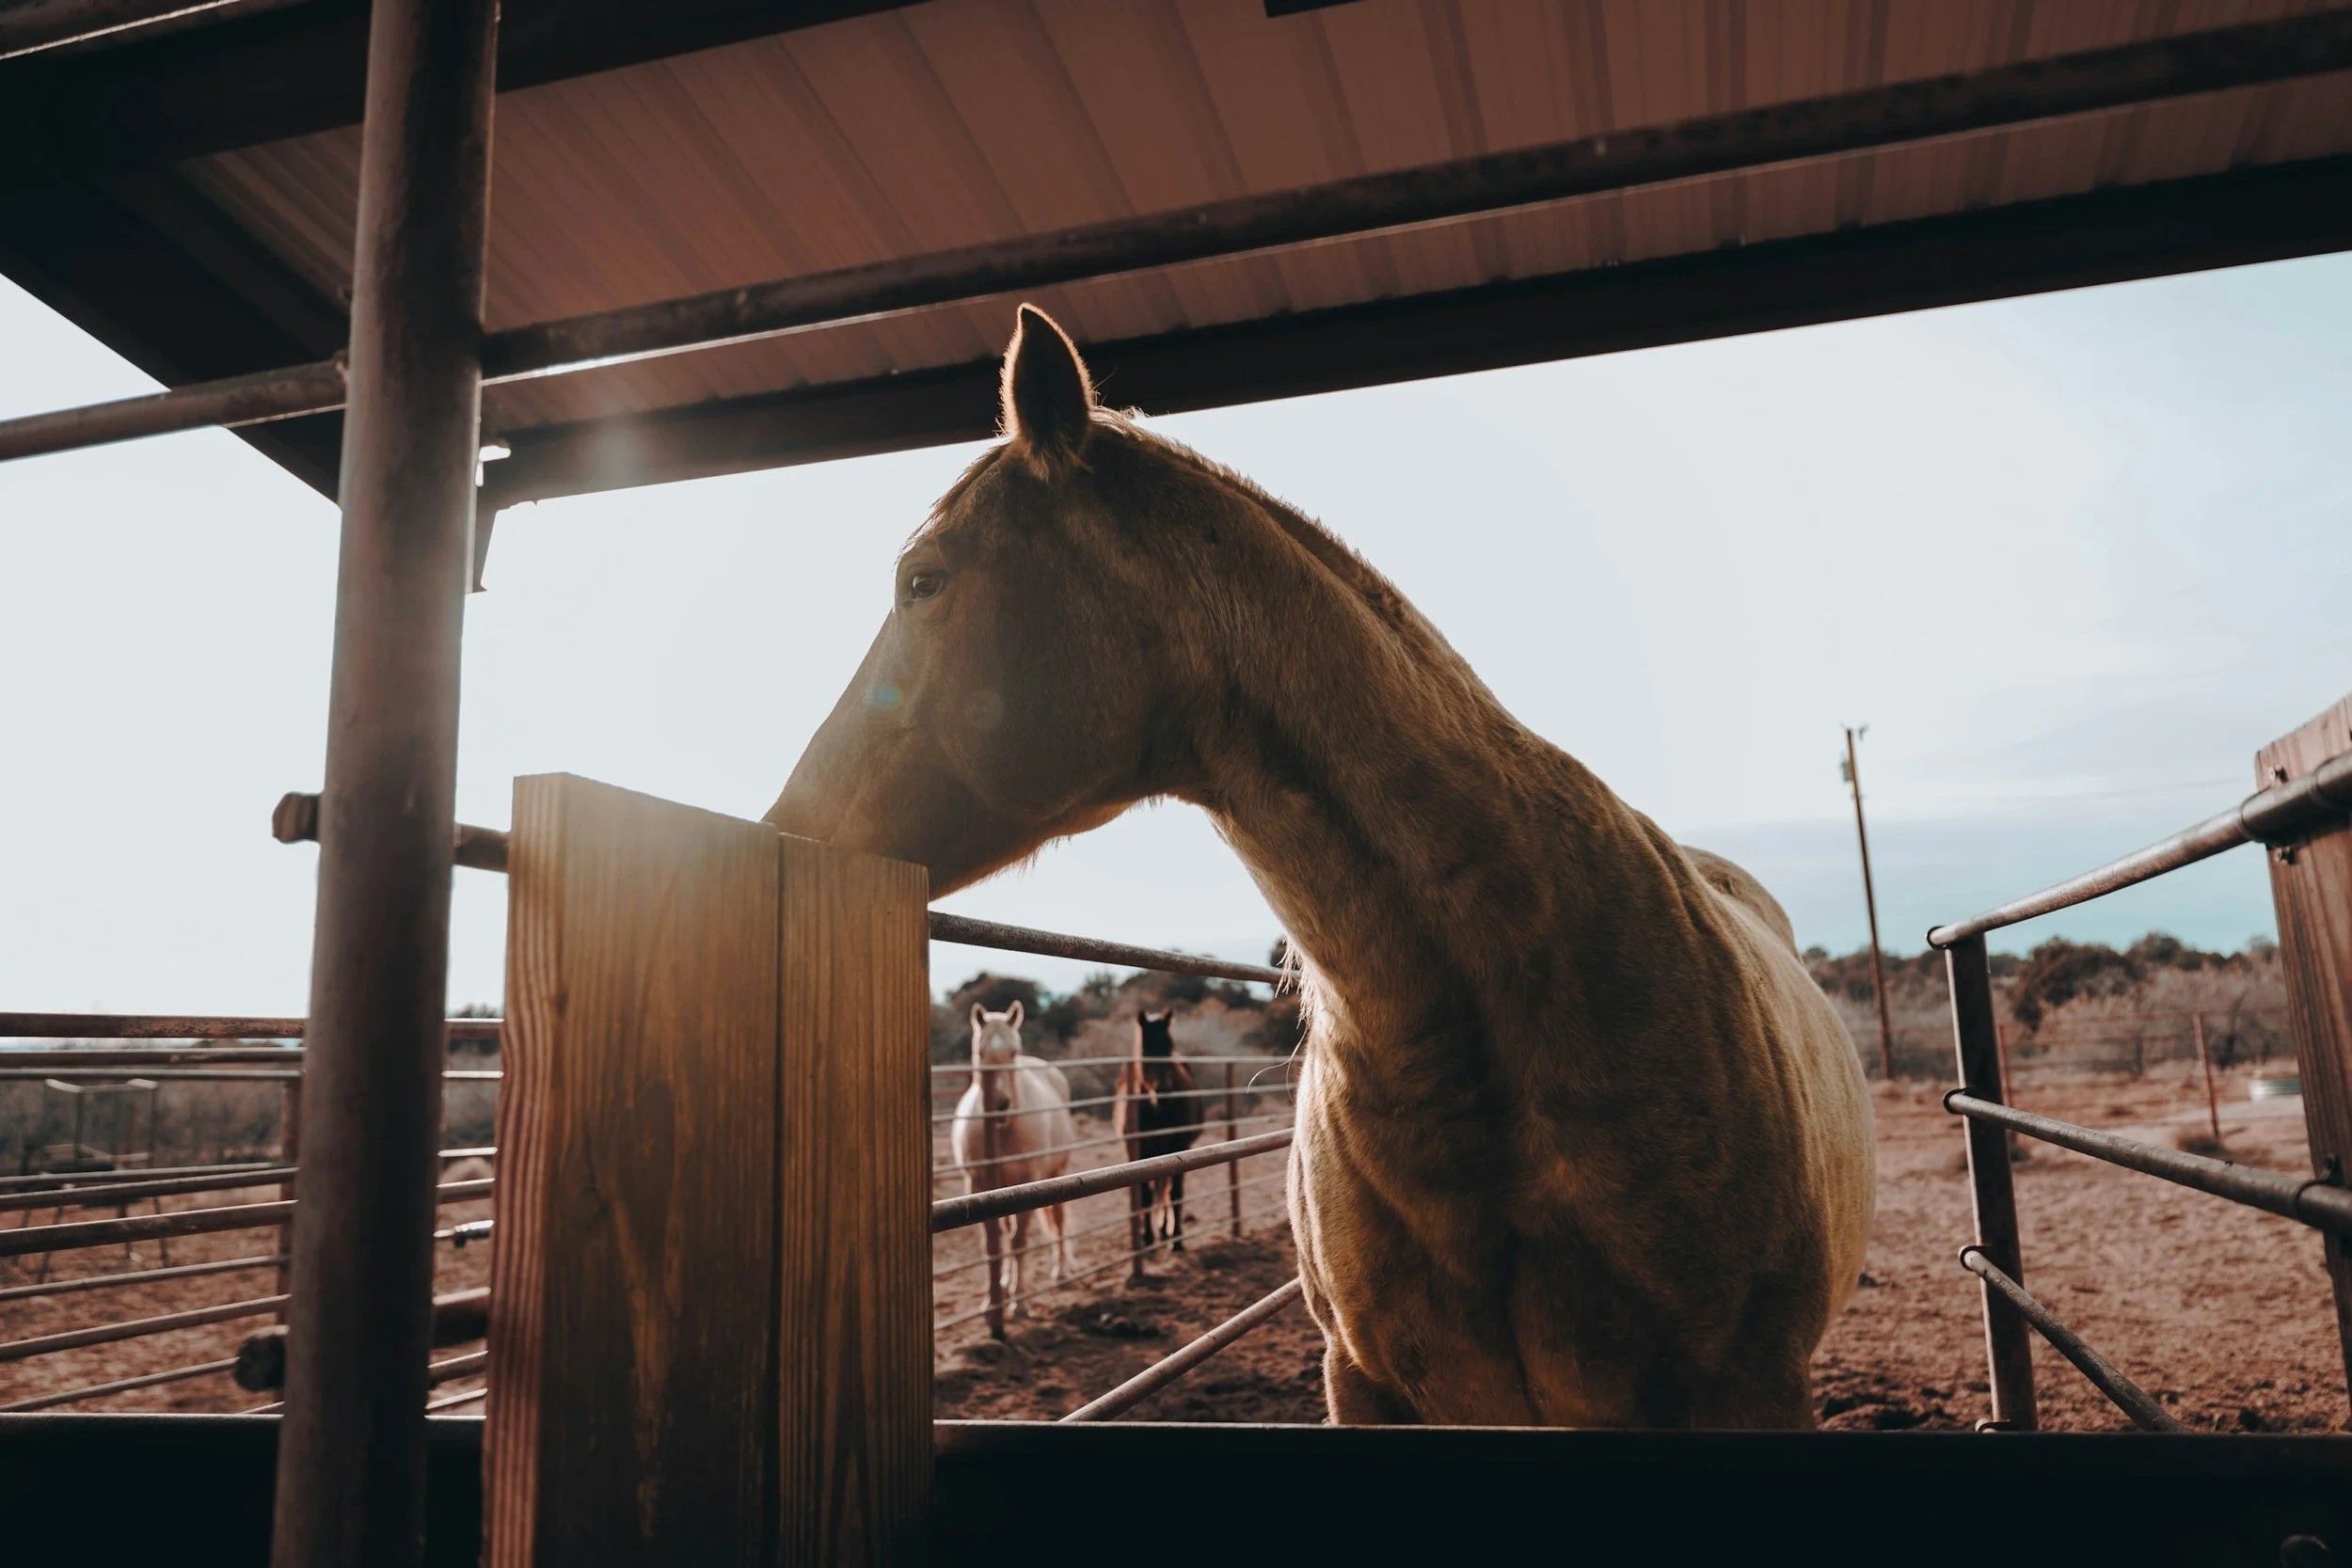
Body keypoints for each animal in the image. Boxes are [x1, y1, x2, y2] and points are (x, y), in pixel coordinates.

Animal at [948, 1001, 1075, 1327]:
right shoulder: (978, 1185)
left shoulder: (1028, 1182)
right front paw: (992, 1301)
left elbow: (1019, 1242)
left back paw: (1060, 1271)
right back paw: (1003, 1286)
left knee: (1059, 1220)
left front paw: (1020, 1302)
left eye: (1013, 1052)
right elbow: (992, 1244)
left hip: (1057, 1173)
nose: (1001, 1104)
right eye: (980, 1052)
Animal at [1113, 1008, 1203, 1263]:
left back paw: (1165, 1231)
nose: (1164, 1094)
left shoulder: (1180, 1148)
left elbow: (1175, 1194)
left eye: (1168, 1045)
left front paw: (1177, 1240)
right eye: (1145, 1048)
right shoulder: (1137, 1154)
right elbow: (1144, 1197)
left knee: (1164, 1191)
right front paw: (1147, 1242)